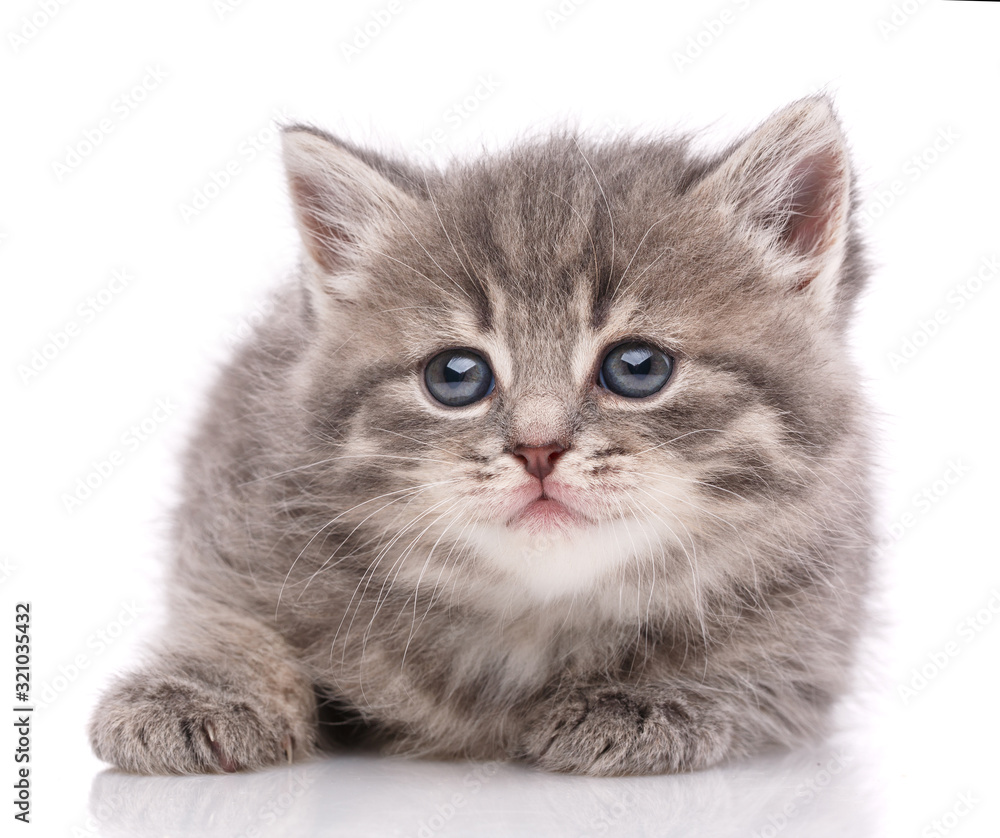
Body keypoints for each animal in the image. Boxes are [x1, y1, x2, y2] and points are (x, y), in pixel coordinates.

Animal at [90, 100, 872, 780]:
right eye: (456, 376)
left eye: (638, 367)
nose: (538, 449)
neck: (530, 618)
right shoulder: (237, 500)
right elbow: (225, 615)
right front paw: (202, 690)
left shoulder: (816, 629)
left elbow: (758, 667)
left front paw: (652, 696)